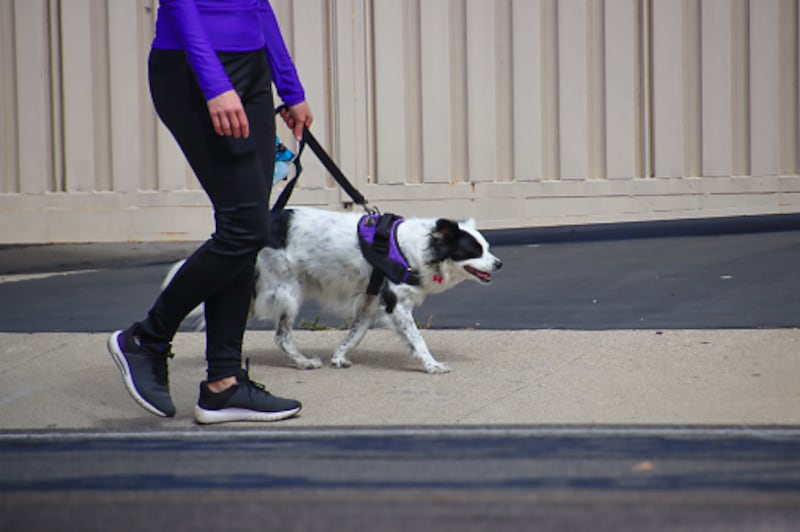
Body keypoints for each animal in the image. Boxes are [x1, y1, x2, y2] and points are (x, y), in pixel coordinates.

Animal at [168, 208, 500, 374]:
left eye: (487, 247)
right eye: (474, 250)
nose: (499, 263)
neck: (419, 247)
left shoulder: (370, 301)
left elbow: (355, 334)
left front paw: (339, 357)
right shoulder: (396, 305)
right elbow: (417, 340)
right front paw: (431, 365)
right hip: (289, 291)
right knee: (281, 336)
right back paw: (303, 362)